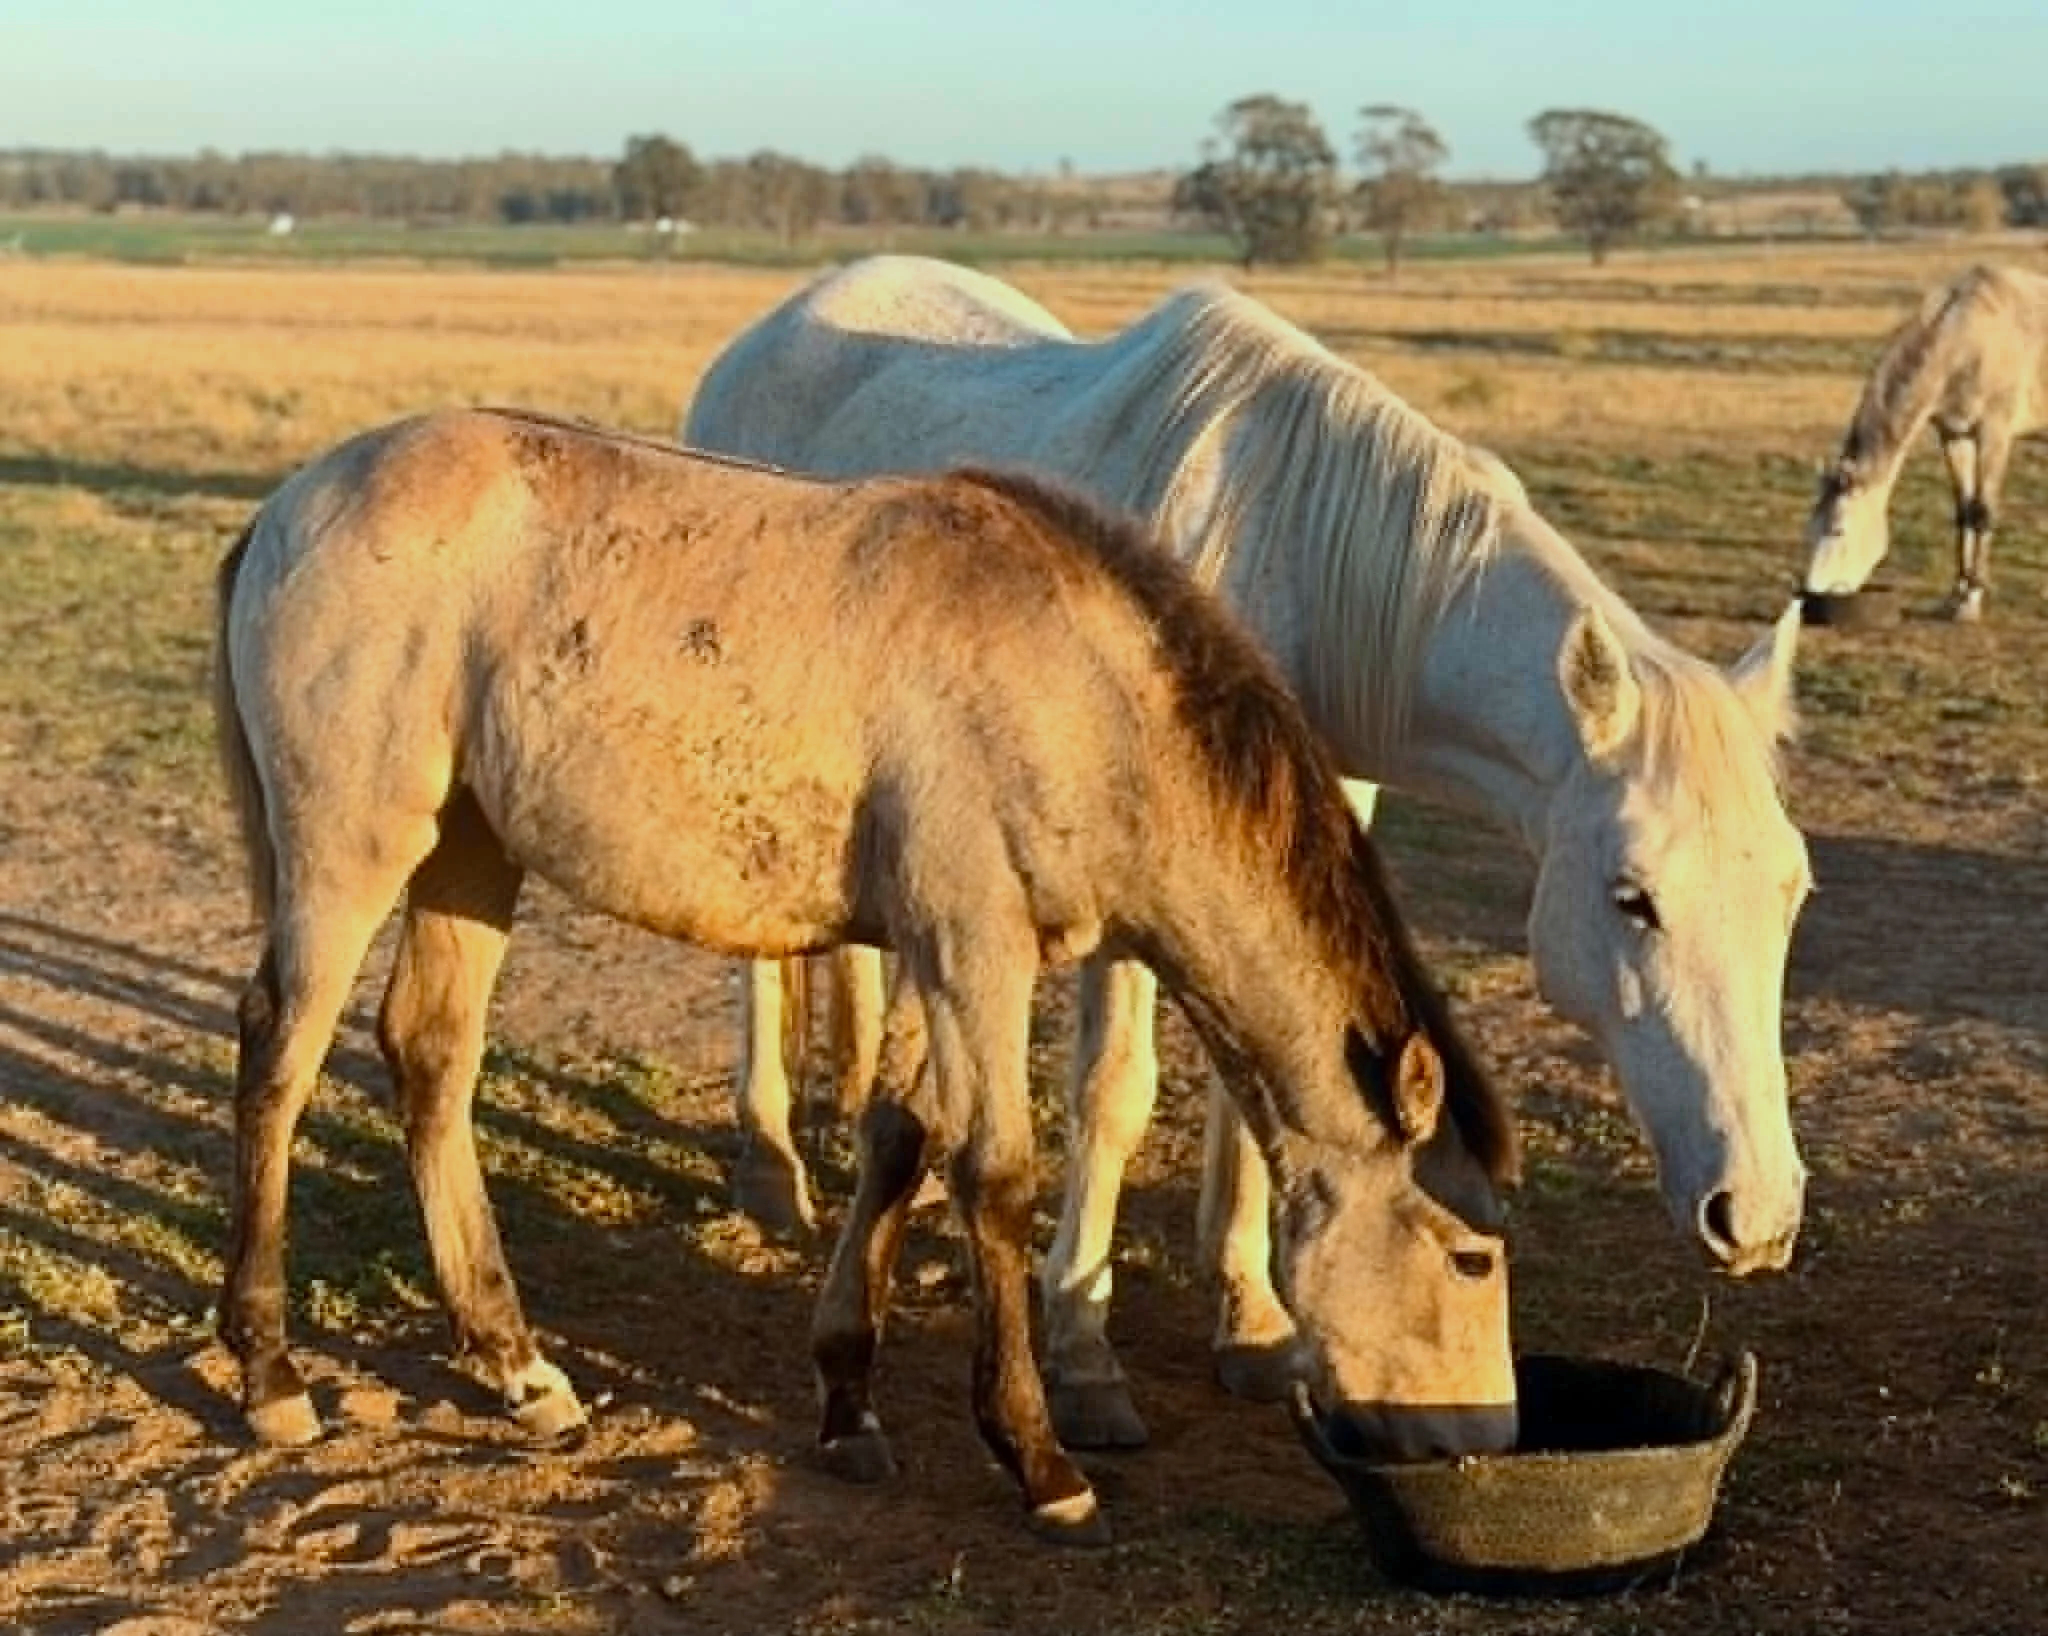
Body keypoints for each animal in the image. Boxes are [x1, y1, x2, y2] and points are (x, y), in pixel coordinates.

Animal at [211, 407, 1519, 1542]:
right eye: (1471, 1254)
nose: (1483, 1439)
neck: (1079, 690)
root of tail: (289, 506)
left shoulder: (929, 951)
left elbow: (898, 1141)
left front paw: (846, 1402)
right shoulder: (974, 948)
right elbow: (995, 1175)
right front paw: (1039, 1461)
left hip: (471, 853)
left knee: (431, 1057)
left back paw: (515, 1365)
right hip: (351, 848)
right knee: (278, 1054)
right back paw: (270, 1372)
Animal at [684, 255, 1809, 1450]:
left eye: (1793, 893)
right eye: (1632, 897)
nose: (1756, 1214)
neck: (1296, 560)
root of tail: (783, 321)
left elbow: (1249, 1087)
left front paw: (1252, 1321)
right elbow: (1115, 1094)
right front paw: (1083, 1354)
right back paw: (770, 1168)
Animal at [1802, 264, 2048, 622]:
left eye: (1838, 530)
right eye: (1810, 527)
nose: (1810, 596)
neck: (1966, 338)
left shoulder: (1993, 433)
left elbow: (1982, 511)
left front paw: (1971, 601)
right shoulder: (1953, 435)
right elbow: (1964, 509)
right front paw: (1956, 595)